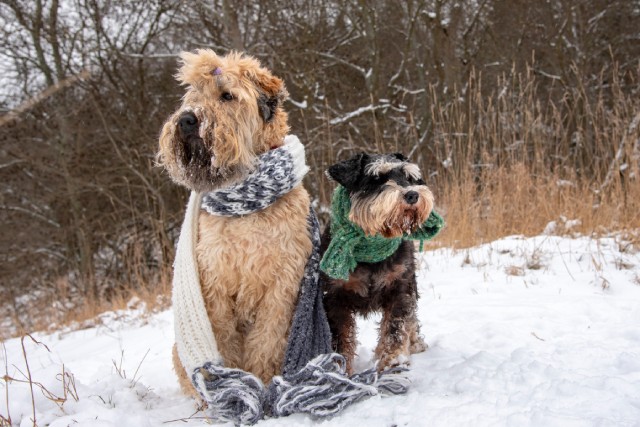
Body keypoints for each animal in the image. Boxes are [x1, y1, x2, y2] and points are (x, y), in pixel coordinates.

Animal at [158, 50, 312, 394]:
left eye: (227, 96)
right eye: (193, 94)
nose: (186, 119)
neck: (243, 205)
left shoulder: (281, 284)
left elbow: (266, 340)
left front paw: (262, 383)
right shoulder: (214, 282)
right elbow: (222, 340)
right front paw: (229, 386)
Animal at [320, 153, 440, 374]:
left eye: (409, 178)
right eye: (376, 178)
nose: (412, 195)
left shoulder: (400, 289)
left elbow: (395, 328)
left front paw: (393, 361)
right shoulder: (334, 297)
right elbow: (340, 337)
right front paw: (340, 369)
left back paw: (415, 344)